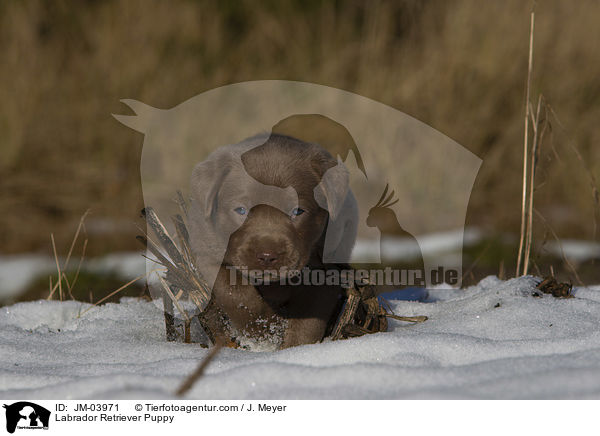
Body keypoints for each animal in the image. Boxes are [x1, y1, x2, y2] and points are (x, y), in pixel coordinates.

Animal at [188, 134, 356, 350]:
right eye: (241, 210)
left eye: (297, 211)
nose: (267, 256)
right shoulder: (209, 253)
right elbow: (235, 294)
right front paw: (265, 330)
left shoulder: (325, 270)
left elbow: (308, 321)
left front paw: (292, 347)